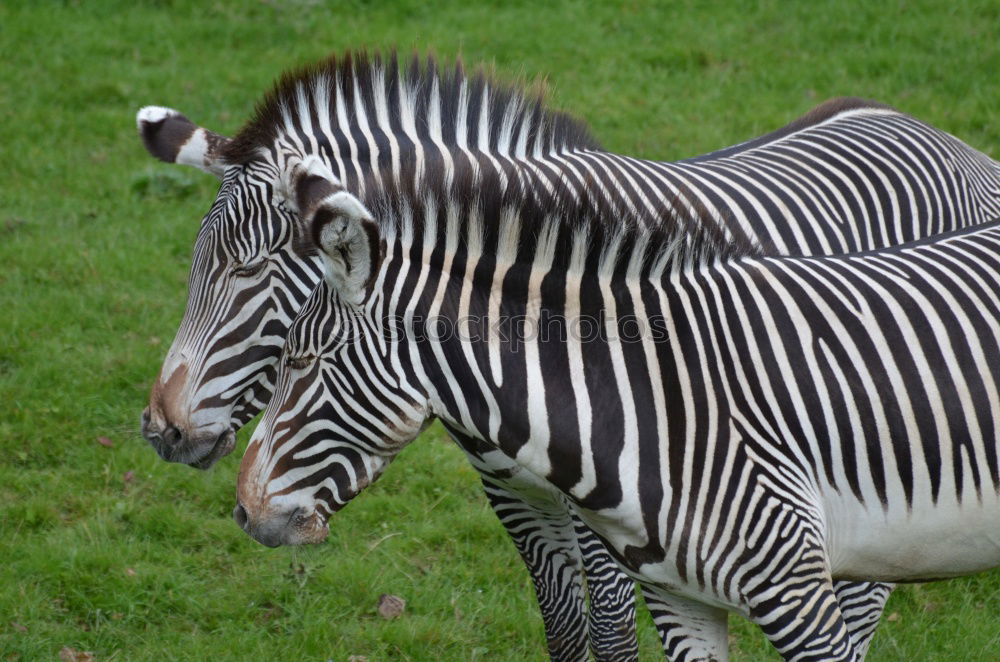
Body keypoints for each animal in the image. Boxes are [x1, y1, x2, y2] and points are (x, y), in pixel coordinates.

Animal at [139, 53, 1000, 662]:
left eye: (250, 272)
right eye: (193, 266)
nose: (159, 430)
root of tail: (943, 138)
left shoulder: (609, 512)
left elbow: (613, 635)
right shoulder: (515, 495)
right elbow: (562, 625)